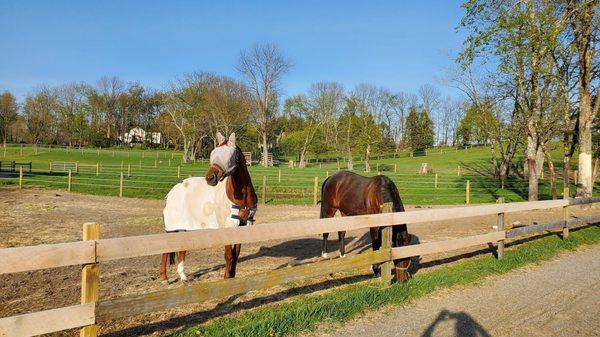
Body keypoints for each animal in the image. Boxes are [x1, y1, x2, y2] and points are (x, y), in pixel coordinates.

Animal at [161, 131, 258, 280]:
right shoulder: (227, 226)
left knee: (182, 250)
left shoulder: (243, 224)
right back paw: (164, 278)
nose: (210, 178)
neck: (242, 197)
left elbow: (236, 255)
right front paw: (226, 277)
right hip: (172, 227)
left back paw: (183, 276)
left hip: (184, 227)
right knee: (166, 250)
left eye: (229, 156)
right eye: (214, 153)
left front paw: (232, 275)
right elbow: (229, 255)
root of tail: (172, 192)